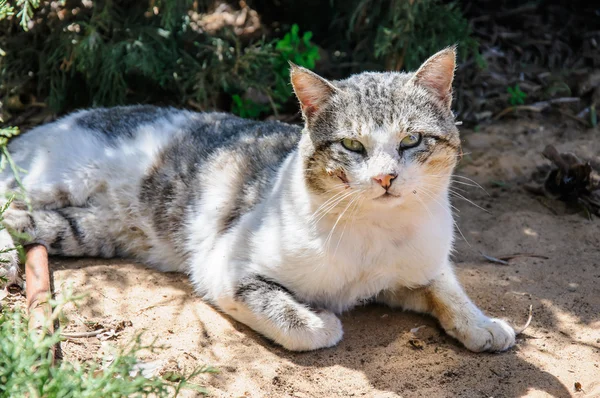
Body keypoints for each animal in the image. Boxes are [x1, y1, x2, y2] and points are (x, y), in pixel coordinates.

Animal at [0, 46, 516, 352]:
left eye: (411, 140)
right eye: (352, 145)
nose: (386, 177)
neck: (378, 233)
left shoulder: (419, 268)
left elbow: (446, 288)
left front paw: (484, 325)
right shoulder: (224, 267)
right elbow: (304, 326)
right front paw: (323, 318)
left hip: (85, 229)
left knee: (23, 220)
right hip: (52, 178)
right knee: (6, 202)